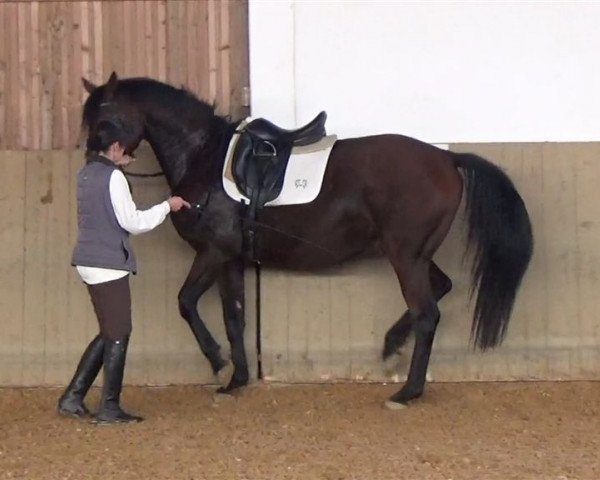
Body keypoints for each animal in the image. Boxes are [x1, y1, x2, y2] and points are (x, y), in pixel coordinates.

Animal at [81, 73, 536, 406]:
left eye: (105, 121)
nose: (91, 169)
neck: (204, 157)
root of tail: (446, 157)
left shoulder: (212, 252)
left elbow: (186, 302)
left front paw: (216, 360)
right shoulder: (230, 260)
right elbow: (233, 317)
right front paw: (236, 379)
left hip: (405, 256)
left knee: (427, 313)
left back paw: (407, 391)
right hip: (417, 255)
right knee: (441, 289)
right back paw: (392, 344)